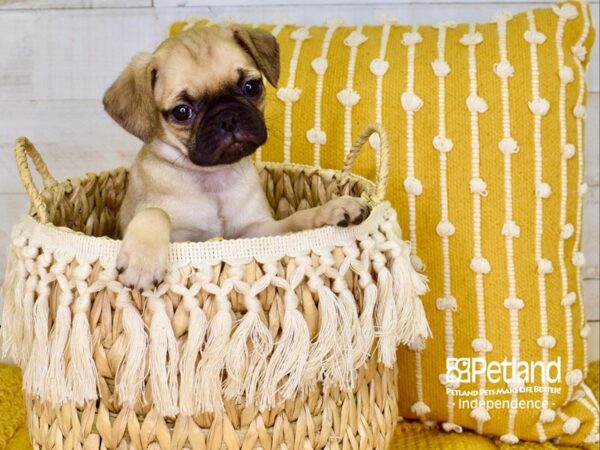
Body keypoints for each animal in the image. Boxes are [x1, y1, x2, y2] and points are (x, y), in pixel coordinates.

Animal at [102, 25, 370, 292]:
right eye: (182, 112)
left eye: (252, 87)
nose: (227, 117)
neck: (212, 178)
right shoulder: (179, 236)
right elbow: (156, 212)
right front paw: (143, 262)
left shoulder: (258, 231)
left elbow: (296, 220)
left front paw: (332, 208)